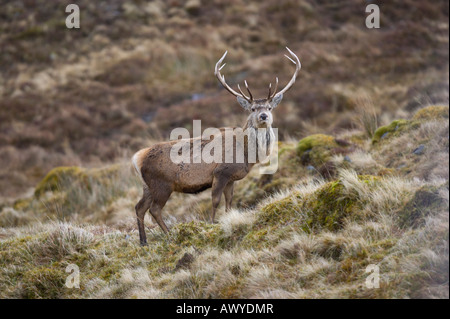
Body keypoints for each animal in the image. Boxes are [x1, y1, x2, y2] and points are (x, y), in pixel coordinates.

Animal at [132, 47, 300, 246]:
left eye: (269, 107)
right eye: (252, 109)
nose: (264, 116)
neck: (246, 154)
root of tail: (137, 158)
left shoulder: (232, 178)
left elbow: (229, 202)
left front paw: (228, 219)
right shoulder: (220, 172)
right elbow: (215, 201)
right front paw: (211, 224)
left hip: (147, 186)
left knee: (139, 207)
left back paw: (143, 241)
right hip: (162, 184)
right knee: (154, 209)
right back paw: (169, 234)